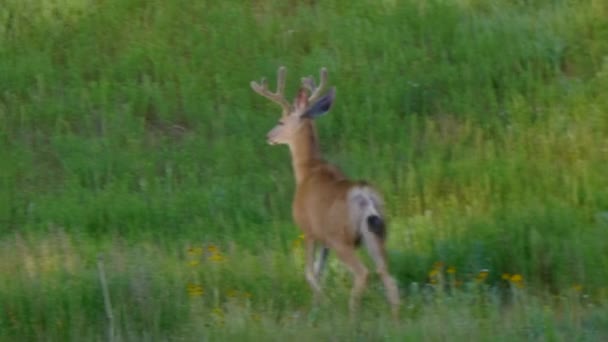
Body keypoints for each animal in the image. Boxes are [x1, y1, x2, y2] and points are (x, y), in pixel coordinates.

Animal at [251, 66, 400, 318]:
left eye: (281, 120)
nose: (268, 137)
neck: (307, 170)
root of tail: (364, 196)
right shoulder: (325, 240)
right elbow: (320, 271)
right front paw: (319, 304)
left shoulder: (309, 230)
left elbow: (310, 273)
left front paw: (321, 304)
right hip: (376, 232)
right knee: (387, 273)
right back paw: (396, 317)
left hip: (341, 238)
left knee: (363, 273)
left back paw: (353, 316)